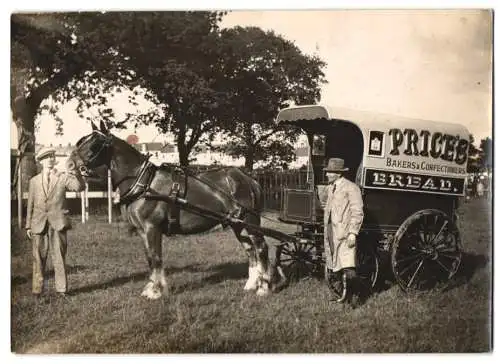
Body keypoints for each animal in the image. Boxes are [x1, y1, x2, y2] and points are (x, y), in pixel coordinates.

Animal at [68, 121, 284, 298]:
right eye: (82, 140)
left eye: (95, 143)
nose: (70, 163)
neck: (144, 183)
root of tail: (249, 179)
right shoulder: (142, 231)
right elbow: (149, 258)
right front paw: (151, 288)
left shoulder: (152, 227)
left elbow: (156, 258)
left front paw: (156, 292)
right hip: (237, 224)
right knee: (250, 249)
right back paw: (251, 284)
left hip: (250, 221)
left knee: (261, 248)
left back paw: (264, 287)